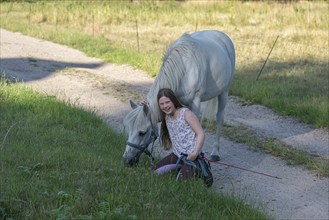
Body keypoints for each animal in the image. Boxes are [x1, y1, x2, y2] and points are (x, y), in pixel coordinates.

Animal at [122, 30, 233, 166]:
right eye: (128, 129)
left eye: (142, 133)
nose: (127, 160)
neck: (184, 69)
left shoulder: (195, 103)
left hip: (224, 92)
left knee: (219, 118)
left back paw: (215, 152)